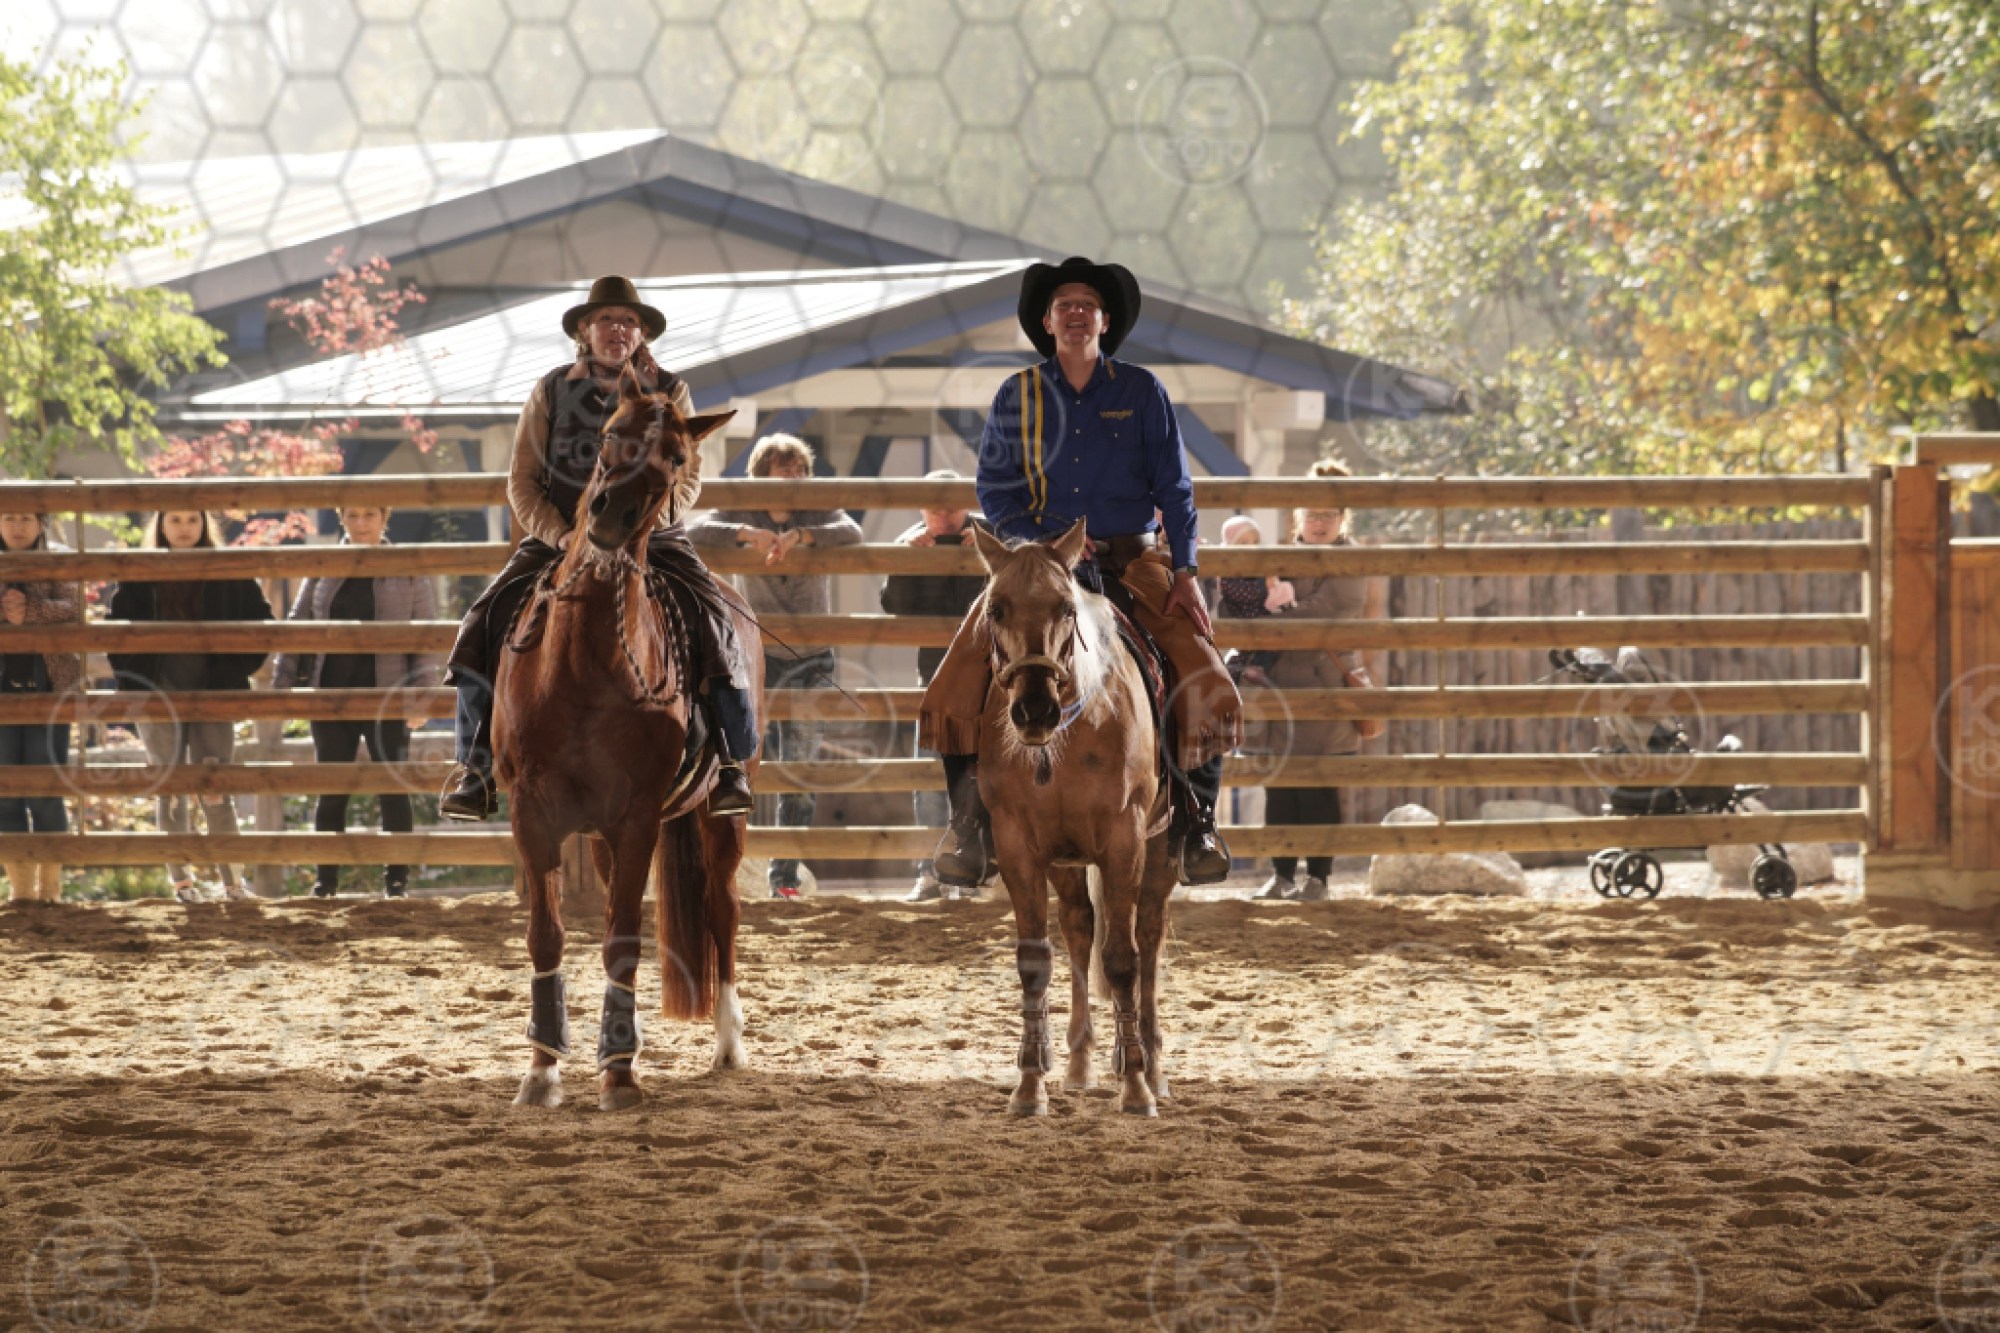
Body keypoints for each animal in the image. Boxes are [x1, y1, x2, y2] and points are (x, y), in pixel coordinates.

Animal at [493, 367, 758, 1112]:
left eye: (675, 455)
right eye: (609, 435)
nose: (609, 517)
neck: (584, 661)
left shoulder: (638, 816)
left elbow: (621, 941)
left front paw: (618, 1072)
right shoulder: (533, 814)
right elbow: (547, 935)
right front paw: (543, 1068)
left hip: (719, 817)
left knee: (722, 912)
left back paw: (728, 1043)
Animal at [970, 519, 1179, 1117]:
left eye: (1066, 607)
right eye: (996, 609)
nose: (1033, 710)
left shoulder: (1124, 840)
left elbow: (1123, 960)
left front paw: (1135, 1087)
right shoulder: (1017, 843)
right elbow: (1036, 960)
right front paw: (1028, 1085)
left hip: (1161, 849)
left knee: (1147, 936)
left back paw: (1151, 1064)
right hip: (1065, 860)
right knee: (1079, 926)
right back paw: (1080, 1061)